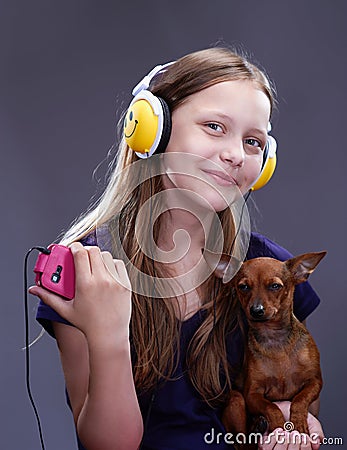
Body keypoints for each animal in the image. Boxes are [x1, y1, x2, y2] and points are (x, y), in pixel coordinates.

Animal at [204, 250, 326, 436]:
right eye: (243, 287)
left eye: (275, 286)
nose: (256, 310)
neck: (274, 339)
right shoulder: (252, 394)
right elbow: (271, 408)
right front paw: (278, 427)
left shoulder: (314, 382)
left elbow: (300, 399)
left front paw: (298, 423)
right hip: (236, 400)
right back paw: (257, 426)